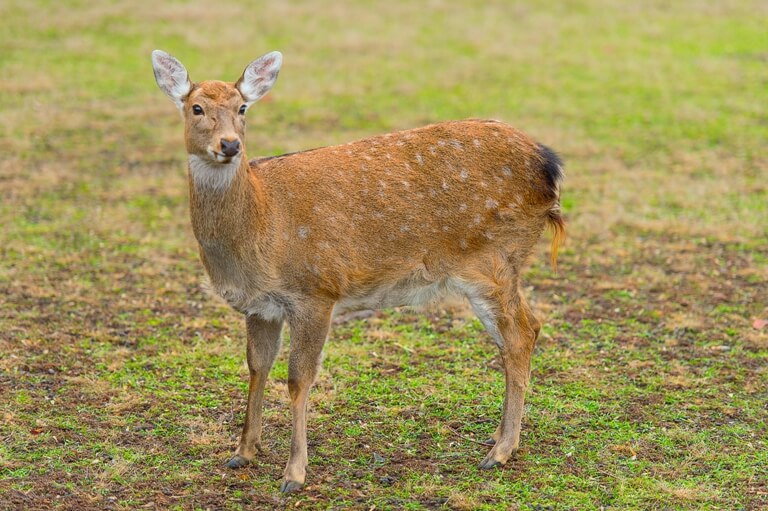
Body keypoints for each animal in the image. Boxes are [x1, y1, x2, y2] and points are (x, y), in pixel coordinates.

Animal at [153, 50, 568, 494]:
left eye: (242, 107)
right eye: (196, 107)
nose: (230, 144)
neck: (260, 228)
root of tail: (549, 165)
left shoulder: (316, 291)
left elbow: (299, 379)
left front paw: (294, 474)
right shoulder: (261, 307)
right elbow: (256, 366)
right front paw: (243, 451)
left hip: (494, 259)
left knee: (520, 335)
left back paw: (501, 451)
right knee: (529, 328)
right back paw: (500, 437)